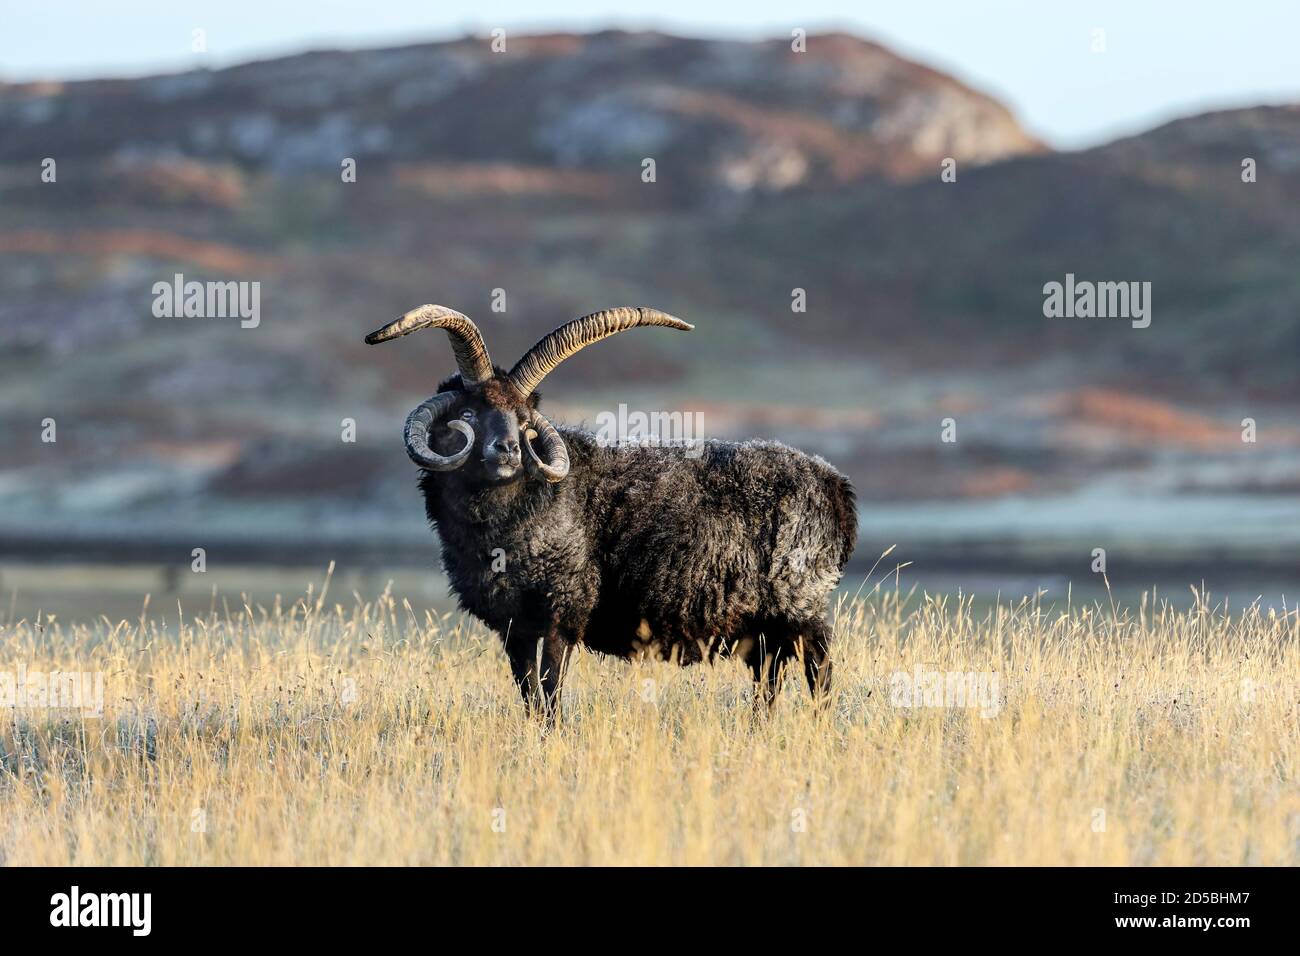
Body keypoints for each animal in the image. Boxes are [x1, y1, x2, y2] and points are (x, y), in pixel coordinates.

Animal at [366, 306, 857, 717]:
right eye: (468, 412)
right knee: (769, 682)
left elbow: (551, 689)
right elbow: (529, 694)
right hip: (763, 625)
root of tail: (835, 485)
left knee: (819, 674)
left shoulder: (565, 609)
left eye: (525, 421)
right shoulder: (513, 626)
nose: (507, 449)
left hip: (802, 605)